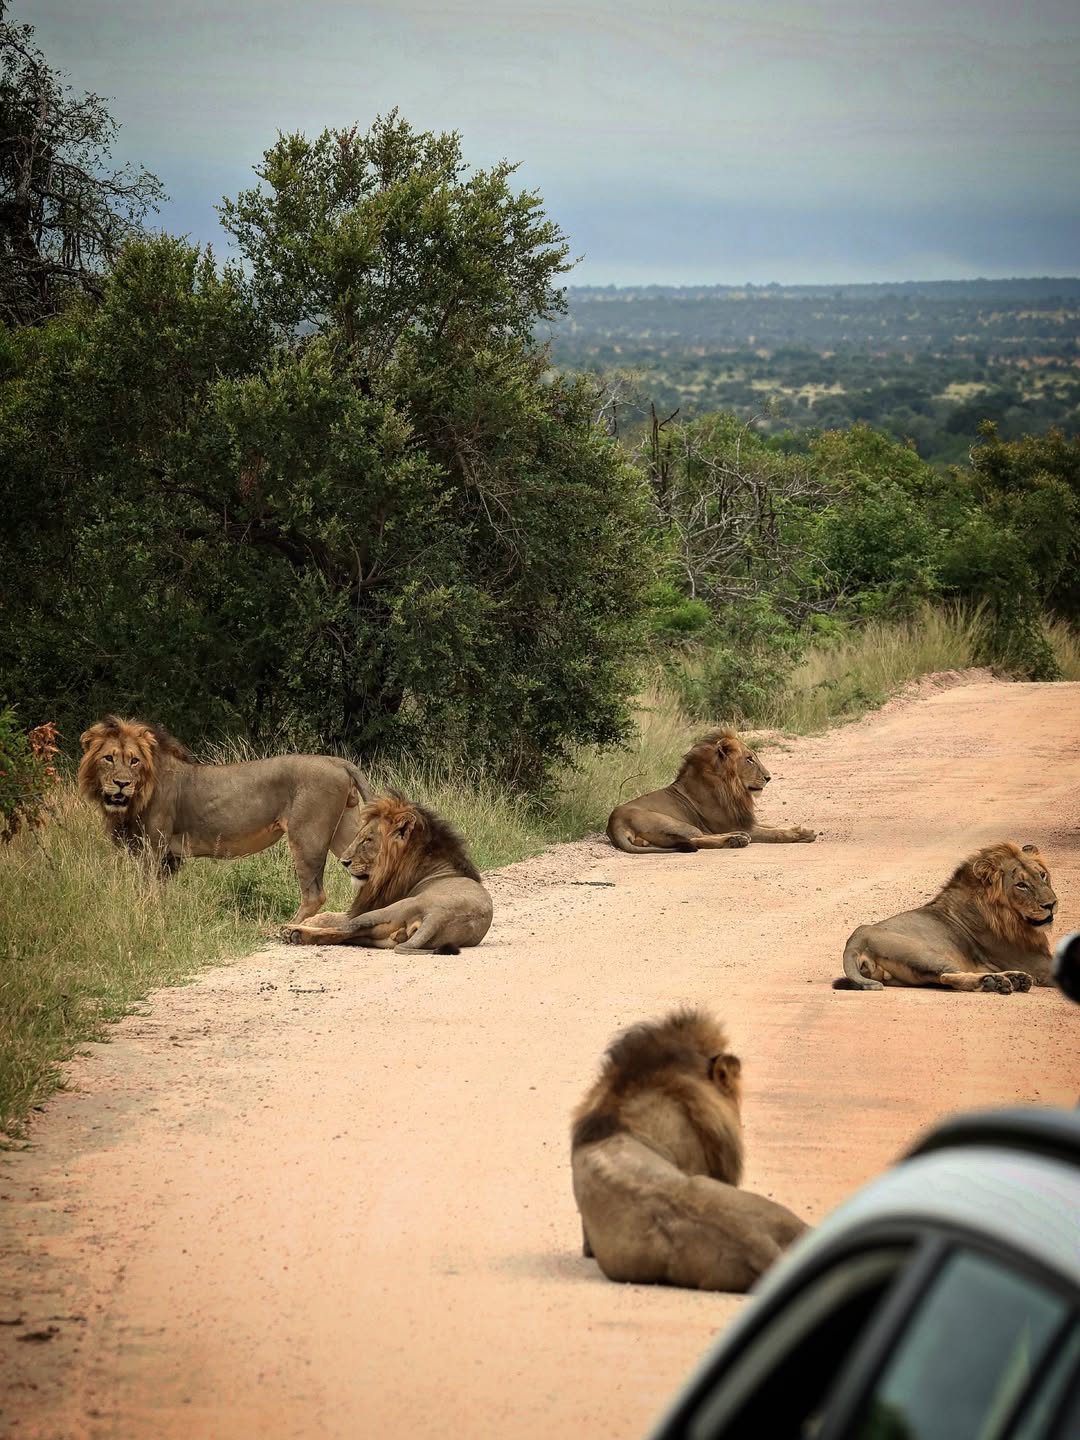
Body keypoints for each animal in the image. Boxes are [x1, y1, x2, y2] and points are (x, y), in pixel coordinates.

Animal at [79, 715, 374, 922]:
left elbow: (147, 889)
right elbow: (161, 891)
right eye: (108, 758)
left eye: (134, 761)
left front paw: (147, 914)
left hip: (306, 835)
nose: (121, 784)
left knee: (314, 894)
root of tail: (337, 762)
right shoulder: (169, 856)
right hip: (344, 832)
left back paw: (287, 928)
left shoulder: (154, 847)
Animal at [280, 793, 493, 953]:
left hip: (386, 911)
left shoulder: (369, 907)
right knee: (345, 934)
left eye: (367, 840)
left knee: (346, 928)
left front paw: (308, 920)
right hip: (382, 938)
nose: (344, 862)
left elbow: (333, 916)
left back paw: (292, 931)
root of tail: (438, 916)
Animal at [606, 728, 816, 854]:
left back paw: (737, 838)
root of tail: (614, 823)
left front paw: (800, 828)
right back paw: (736, 839)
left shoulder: (744, 820)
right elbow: (774, 833)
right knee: (697, 837)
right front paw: (801, 834)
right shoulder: (733, 823)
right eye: (749, 759)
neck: (732, 786)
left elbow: (772, 826)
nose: (768, 777)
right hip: (678, 824)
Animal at [834, 842, 1058, 993]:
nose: (1051, 904)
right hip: (925, 954)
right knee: (948, 975)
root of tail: (856, 940)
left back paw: (1014, 979)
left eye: (1042, 875)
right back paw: (997, 982)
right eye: (1021, 885)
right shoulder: (1040, 965)